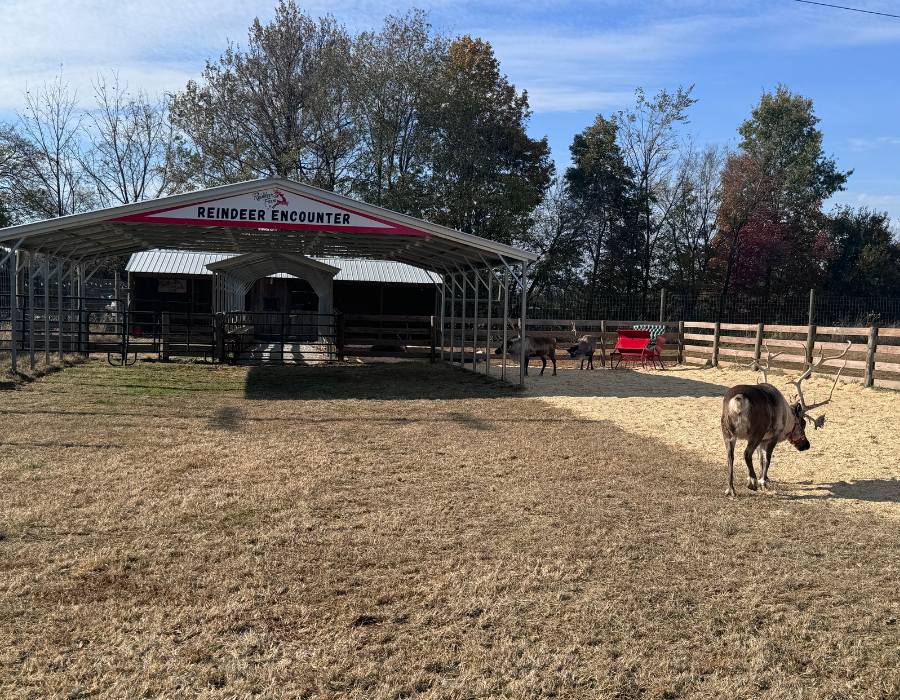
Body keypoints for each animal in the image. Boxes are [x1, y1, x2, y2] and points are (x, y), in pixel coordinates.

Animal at [721, 340, 851, 497]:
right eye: (803, 423)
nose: (807, 445)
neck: (789, 417)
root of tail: (738, 399)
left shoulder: (763, 440)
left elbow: (760, 459)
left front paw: (764, 478)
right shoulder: (773, 436)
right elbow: (767, 459)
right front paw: (763, 481)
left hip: (727, 432)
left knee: (730, 457)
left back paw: (730, 489)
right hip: (756, 432)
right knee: (746, 454)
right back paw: (752, 482)